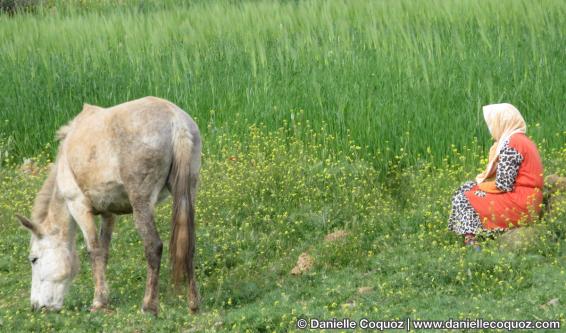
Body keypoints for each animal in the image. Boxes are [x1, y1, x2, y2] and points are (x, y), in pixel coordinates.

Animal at [16, 96, 202, 314]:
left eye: (34, 259)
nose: (36, 306)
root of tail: (176, 120)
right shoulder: (109, 213)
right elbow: (104, 252)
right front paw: (104, 297)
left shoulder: (78, 207)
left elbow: (94, 251)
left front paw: (98, 301)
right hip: (187, 194)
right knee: (188, 244)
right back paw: (193, 304)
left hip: (142, 204)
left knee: (153, 246)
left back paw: (148, 305)